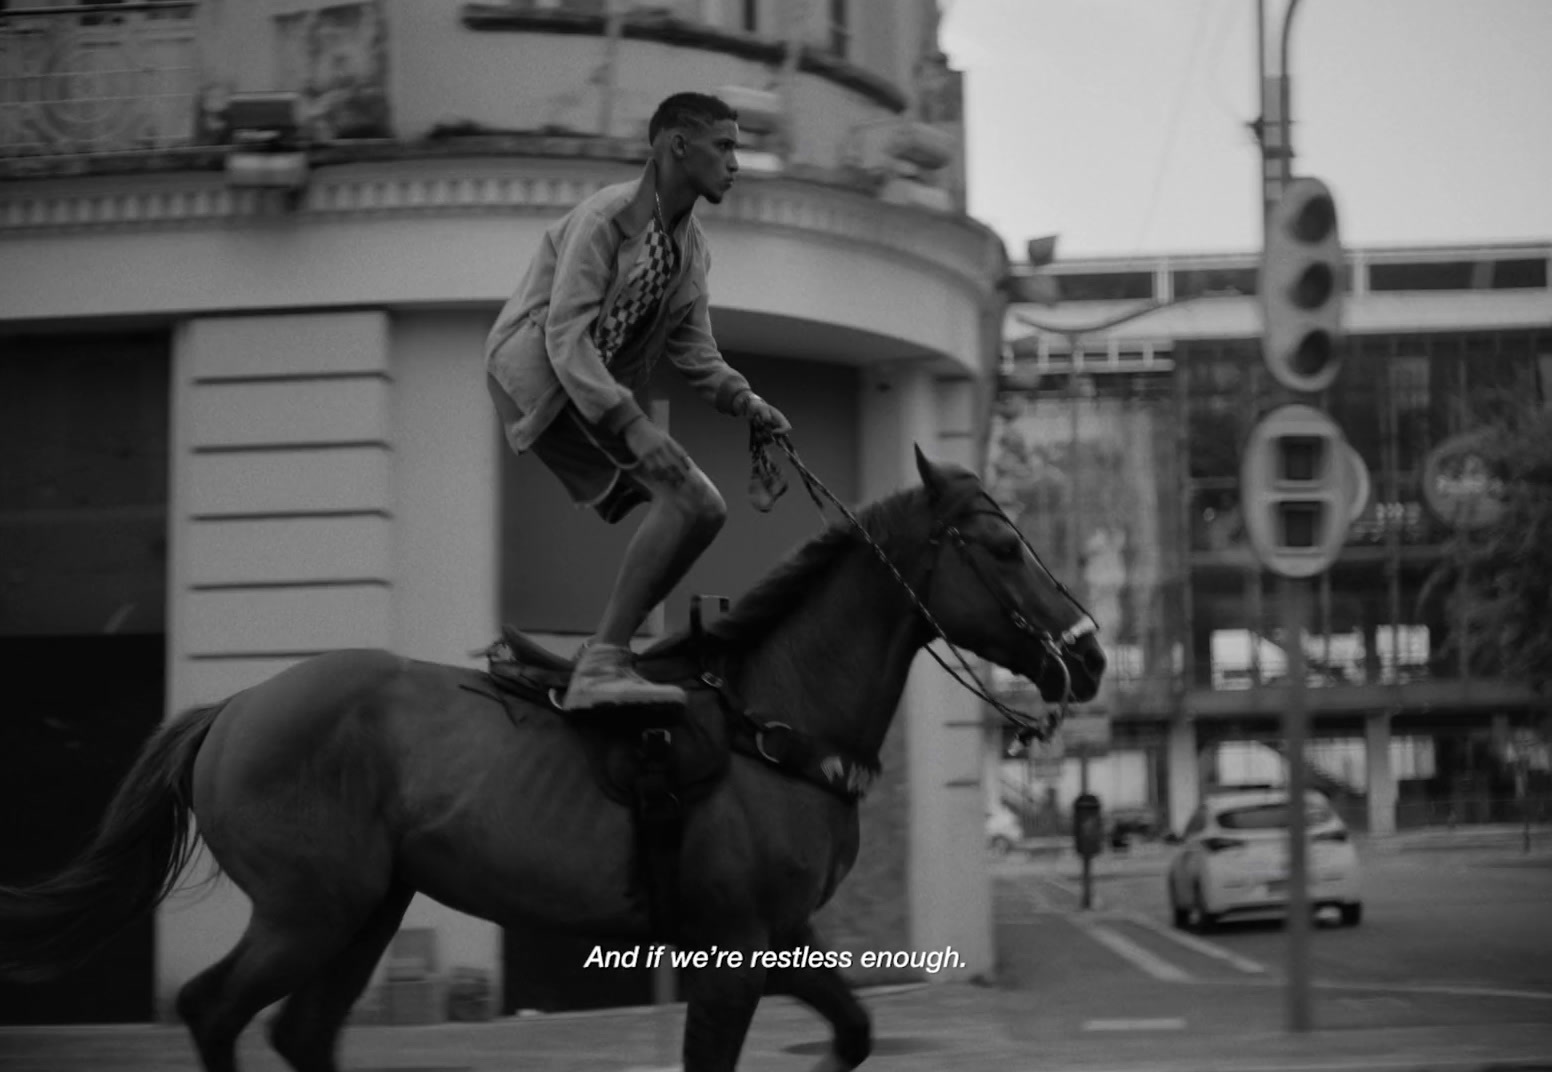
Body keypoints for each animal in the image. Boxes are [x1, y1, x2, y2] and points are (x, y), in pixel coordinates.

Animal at [0, 446, 1105, 1072]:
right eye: (1002, 548)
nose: (1090, 652)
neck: (773, 717)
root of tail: (233, 707)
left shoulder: (784, 937)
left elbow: (855, 1033)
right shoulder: (731, 954)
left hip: (363, 911)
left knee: (298, 1033)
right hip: (307, 912)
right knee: (213, 1010)